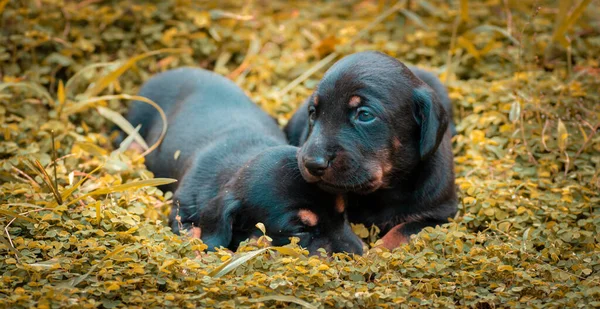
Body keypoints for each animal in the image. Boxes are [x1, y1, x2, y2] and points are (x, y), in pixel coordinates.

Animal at [284, 50, 458, 248]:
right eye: (313, 112)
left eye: (365, 115)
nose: (311, 163)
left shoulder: (440, 215)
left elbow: (401, 230)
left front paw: (377, 252)